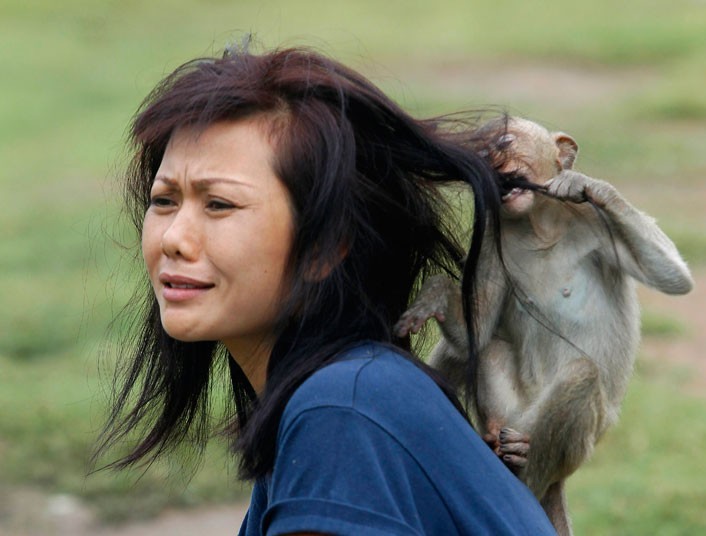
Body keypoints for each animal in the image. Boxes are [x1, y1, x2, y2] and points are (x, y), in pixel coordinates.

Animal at [394, 117, 692, 536]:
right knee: (481, 349)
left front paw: (584, 184)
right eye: (483, 149)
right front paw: (434, 296)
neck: (539, 224)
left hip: (575, 441)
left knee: (581, 376)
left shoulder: (596, 223)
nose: (492, 160)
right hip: (508, 411)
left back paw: (524, 483)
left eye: (505, 141)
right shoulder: (491, 234)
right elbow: (475, 332)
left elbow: (673, 277)